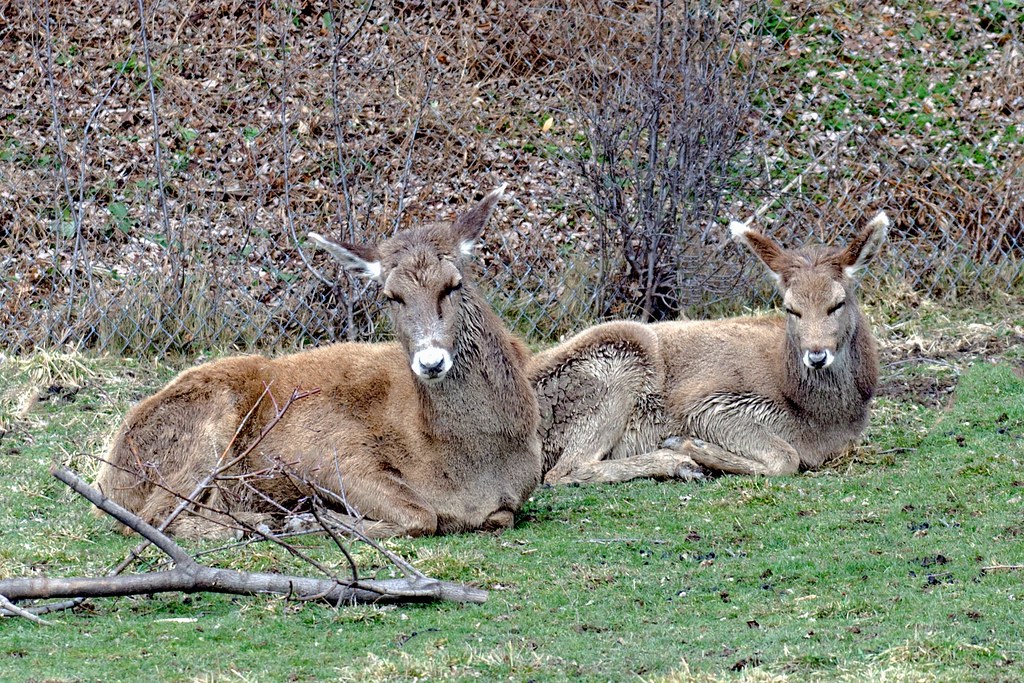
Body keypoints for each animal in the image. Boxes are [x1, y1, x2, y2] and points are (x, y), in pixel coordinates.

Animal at [94, 186, 542, 539]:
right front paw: (313, 519)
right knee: (152, 516)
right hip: (206, 424)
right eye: (390, 296)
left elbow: (492, 517)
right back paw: (259, 521)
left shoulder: (513, 499)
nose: (431, 361)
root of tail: (111, 475)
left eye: (454, 284)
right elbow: (421, 516)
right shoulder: (331, 452)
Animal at [530, 211, 889, 485]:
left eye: (837, 303)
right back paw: (676, 462)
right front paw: (688, 446)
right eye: (790, 308)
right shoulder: (706, 402)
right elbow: (786, 458)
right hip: (615, 359)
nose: (816, 355)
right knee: (562, 471)